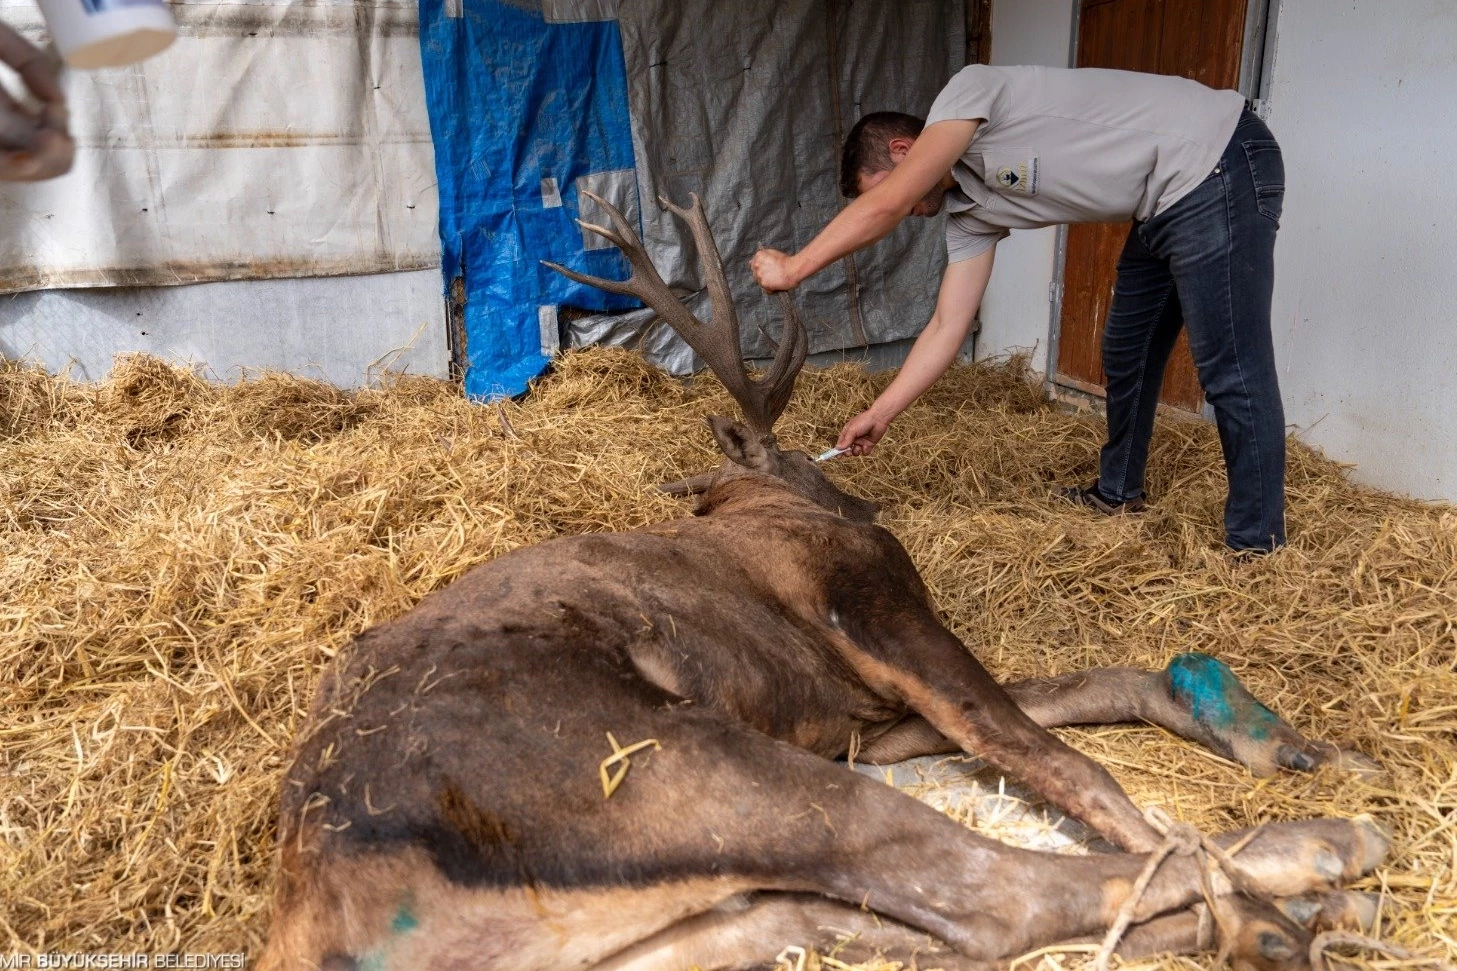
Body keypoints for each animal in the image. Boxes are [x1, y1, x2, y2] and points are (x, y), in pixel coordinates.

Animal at [262, 190, 1387, 968]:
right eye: (806, 459)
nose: (863, 499)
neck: (755, 505)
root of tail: (330, 919)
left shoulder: (864, 712)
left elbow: (1074, 693)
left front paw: (1269, 735)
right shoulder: (872, 611)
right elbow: (1052, 754)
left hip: (678, 923)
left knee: (903, 918)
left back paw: (1278, 908)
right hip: (679, 766)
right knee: (987, 890)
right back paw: (1309, 869)